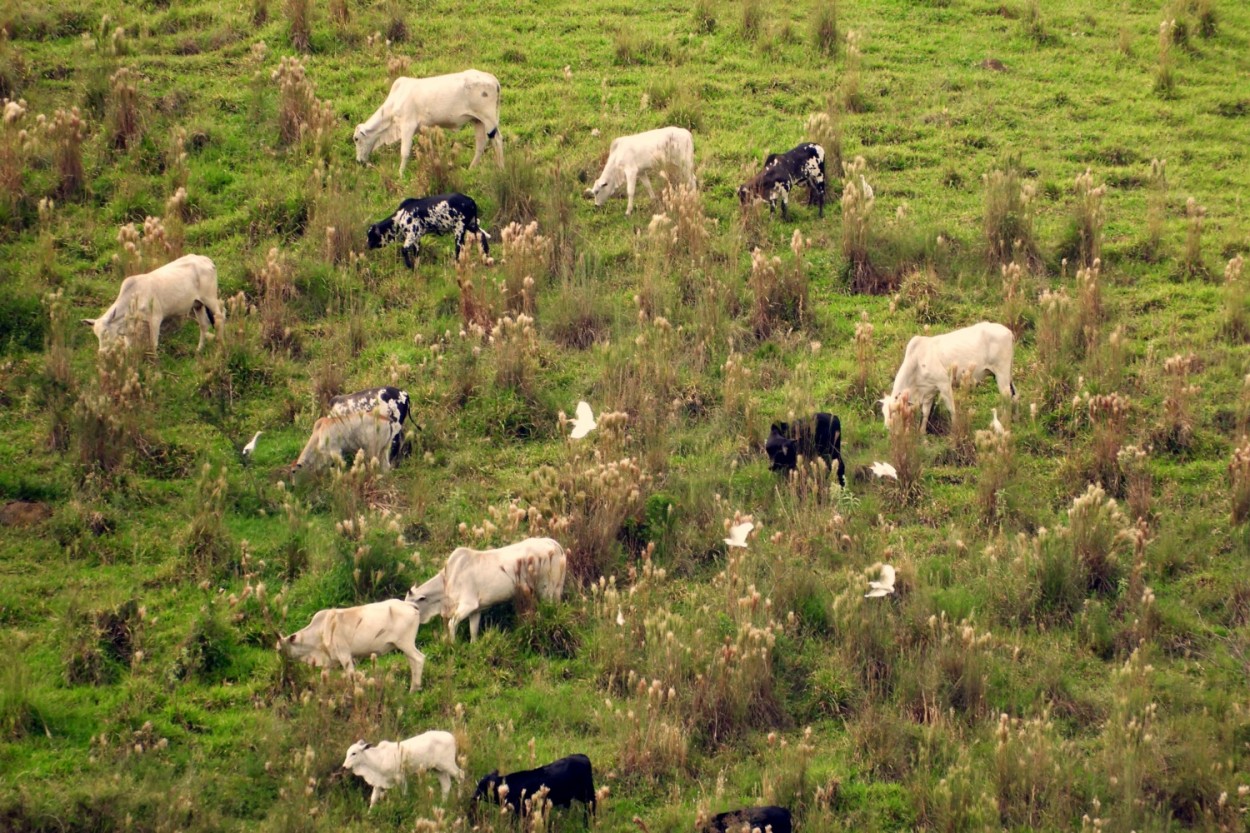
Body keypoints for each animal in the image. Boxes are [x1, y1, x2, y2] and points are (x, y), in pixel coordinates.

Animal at [83, 256, 223, 352]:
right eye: (96, 334)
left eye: (106, 332)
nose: (102, 352)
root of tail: (206, 260)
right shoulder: (130, 332)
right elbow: (129, 348)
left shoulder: (155, 319)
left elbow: (153, 345)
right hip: (197, 304)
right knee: (203, 325)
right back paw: (199, 350)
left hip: (210, 298)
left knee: (219, 318)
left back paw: (220, 347)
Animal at [277, 597, 425, 685]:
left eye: (280, 649)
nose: (282, 666)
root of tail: (410, 605)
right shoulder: (329, 661)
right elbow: (324, 677)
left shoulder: (345, 655)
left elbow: (350, 675)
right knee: (413, 663)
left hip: (405, 643)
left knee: (419, 659)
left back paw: (414, 690)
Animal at [352, 69, 502, 175]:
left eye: (356, 139)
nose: (359, 161)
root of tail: (493, 80)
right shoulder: (425, 128)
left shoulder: (407, 126)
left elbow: (404, 152)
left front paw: (400, 174)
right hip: (477, 120)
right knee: (481, 144)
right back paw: (471, 168)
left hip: (489, 119)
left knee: (497, 140)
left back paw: (501, 169)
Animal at [880, 318, 1015, 430]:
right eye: (883, 413)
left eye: (893, 412)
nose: (887, 427)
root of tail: (1008, 331)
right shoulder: (929, 391)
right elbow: (925, 414)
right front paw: (922, 434)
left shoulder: (944, 383)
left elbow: (951, 409)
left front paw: (954, 430)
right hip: (1005, 375)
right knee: (1015, 395)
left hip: (1001, 372)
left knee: (1007, 397)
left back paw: (1005, 421)